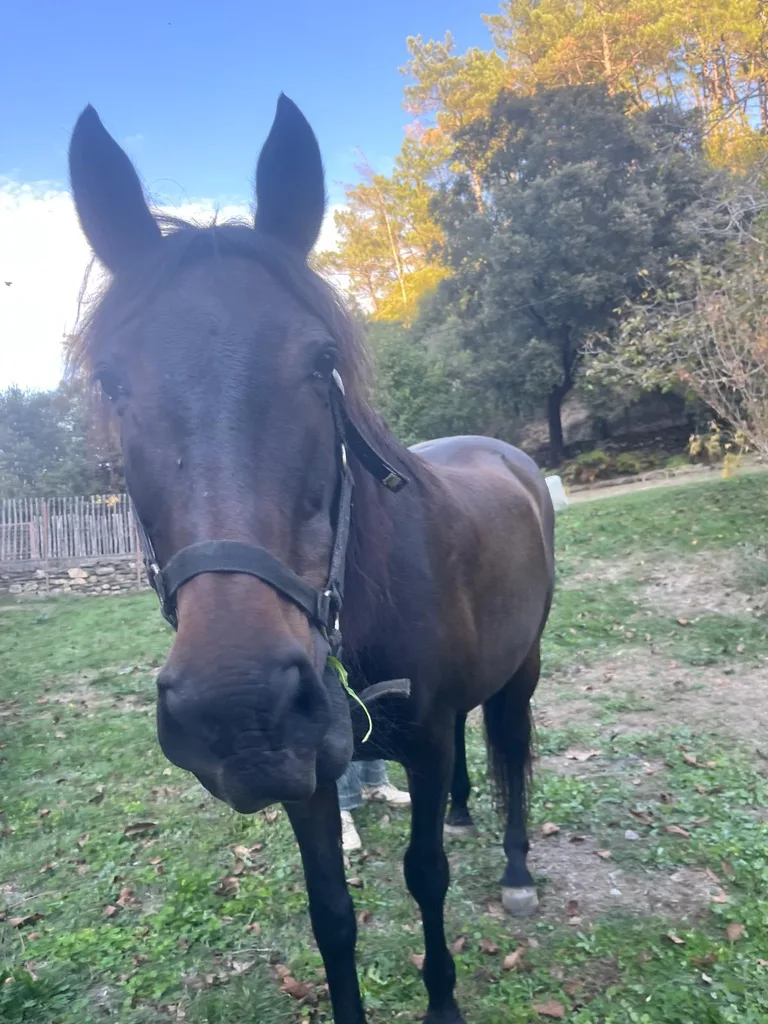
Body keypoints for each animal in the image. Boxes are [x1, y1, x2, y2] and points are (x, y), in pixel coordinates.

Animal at [67, 95, 555, 1024]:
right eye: (112, 381)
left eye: (321, 360)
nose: (238, 708)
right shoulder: (311, 772)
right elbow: (331, 912)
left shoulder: (423, 742)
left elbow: (425, 875)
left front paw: (442, 1000)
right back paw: (467, 813)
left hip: (524, 668)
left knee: (512, 746)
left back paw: (515, 867)